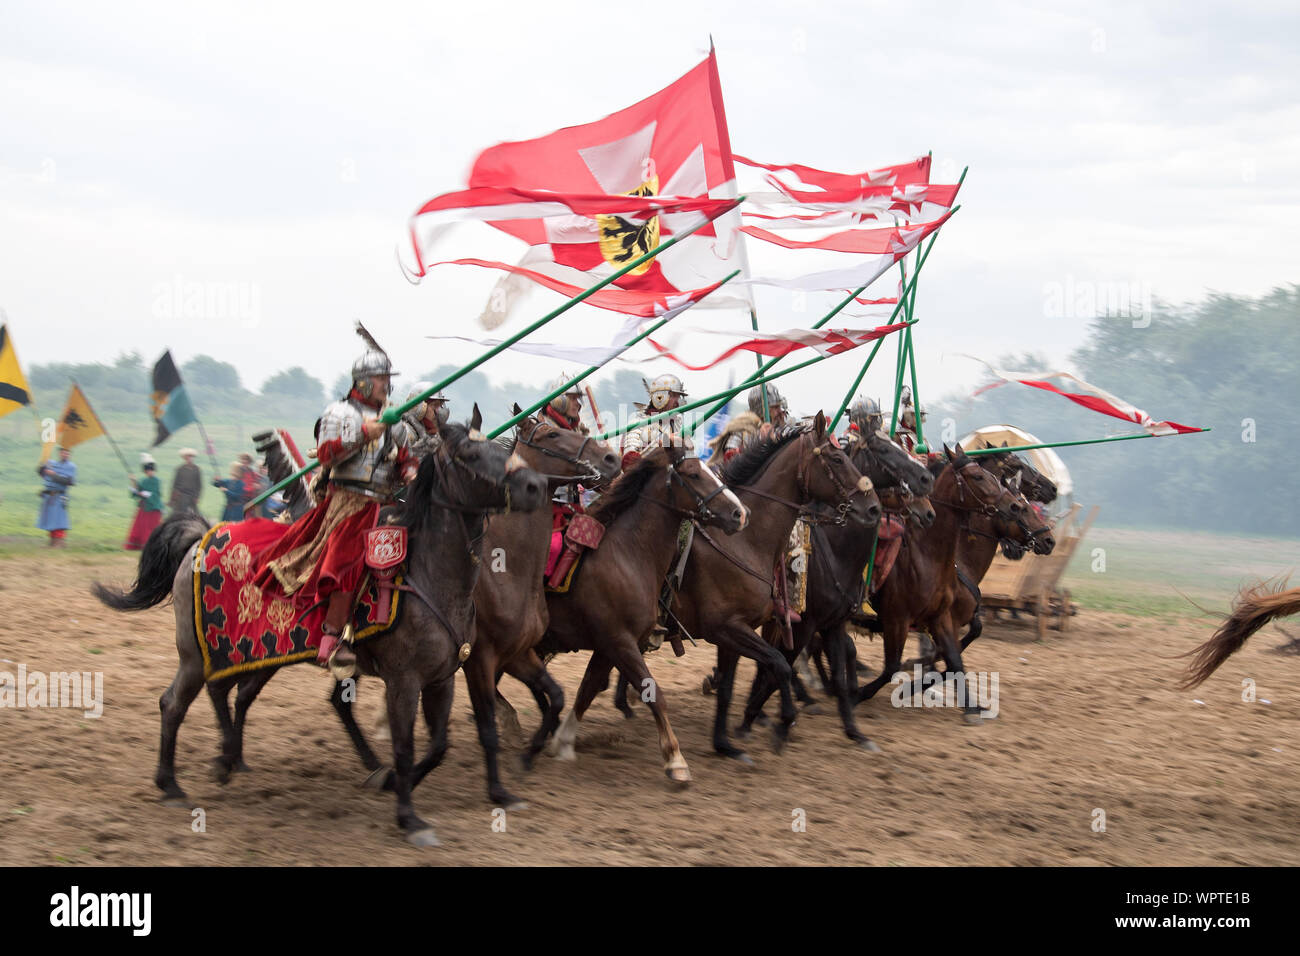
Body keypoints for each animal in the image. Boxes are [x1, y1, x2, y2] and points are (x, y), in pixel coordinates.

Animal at [91, 418, 546, 842]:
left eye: (502, 448)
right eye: (471, 454)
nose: (536, 485)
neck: (429, 574)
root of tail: (200, 540)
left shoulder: (442, 678)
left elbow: (437, 747)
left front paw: (391, 781)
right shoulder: (404, 681)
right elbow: (405, 747)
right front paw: (409, 817)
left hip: (252, 651)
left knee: (227, 693)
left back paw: (229, 760)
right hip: (198, 653)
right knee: (175, 703)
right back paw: (173, 783)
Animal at [538, 444, 748, 780]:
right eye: (693, 474)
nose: (739, 514)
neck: (628, 554)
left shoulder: (610, 646)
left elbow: (587, 689)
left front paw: (564, 742)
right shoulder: (620, 642)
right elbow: (654, 694)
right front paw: (675, 760)